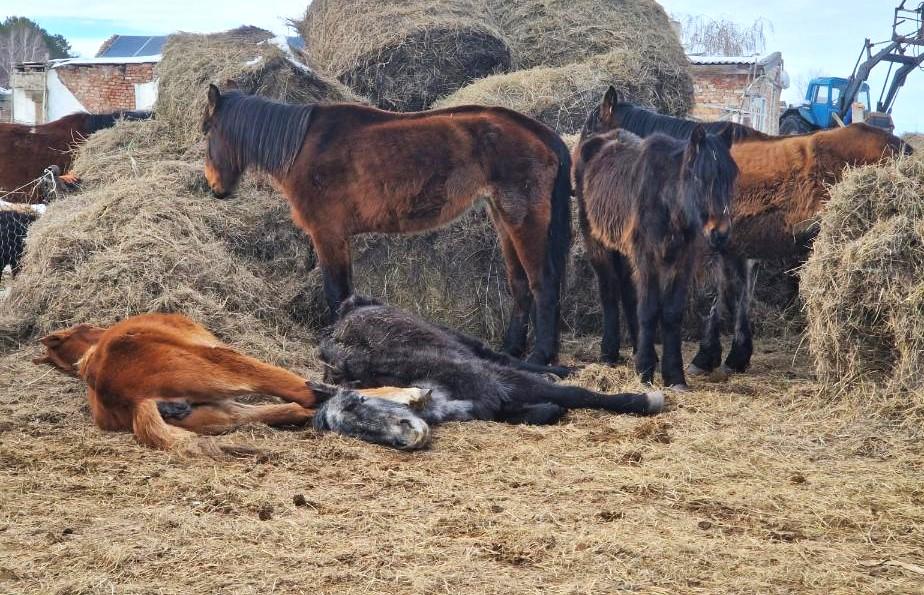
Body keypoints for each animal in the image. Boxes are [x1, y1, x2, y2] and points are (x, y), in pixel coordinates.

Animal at [31, 312, 430, 456]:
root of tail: (130, 398)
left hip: (219, 413)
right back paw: (407, 399)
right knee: (302, 393)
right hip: (227, 365)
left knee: (292, 408)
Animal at [202, 86, 572, 366]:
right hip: (503, 217)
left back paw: (540, 356)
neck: (304, 147)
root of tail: (538, 132)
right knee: (519, 284)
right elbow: (346, 292)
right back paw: (511, 350)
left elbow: (336, 293)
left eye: (207, 133)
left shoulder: (328, 235)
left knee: (543, 282)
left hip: (524, 218)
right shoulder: (339, 238)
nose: (214, 187)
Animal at [314, 296, 668, 450]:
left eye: (360, 402)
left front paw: (647, 400)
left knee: (504, 357)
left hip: (458, 338)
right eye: (357, 432)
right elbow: (532, 411)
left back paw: (564, 368)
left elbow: (576, 393)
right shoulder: (495, 401)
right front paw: (550, 409)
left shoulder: (492, 378)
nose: (407, 439)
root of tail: (348, 308)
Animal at [588, 87, 904, 378]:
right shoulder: (736, 250)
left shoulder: (712, 248)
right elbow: (738, 298)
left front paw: (706, 356)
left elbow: (720, 299)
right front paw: (735, 355)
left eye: (592, 126)